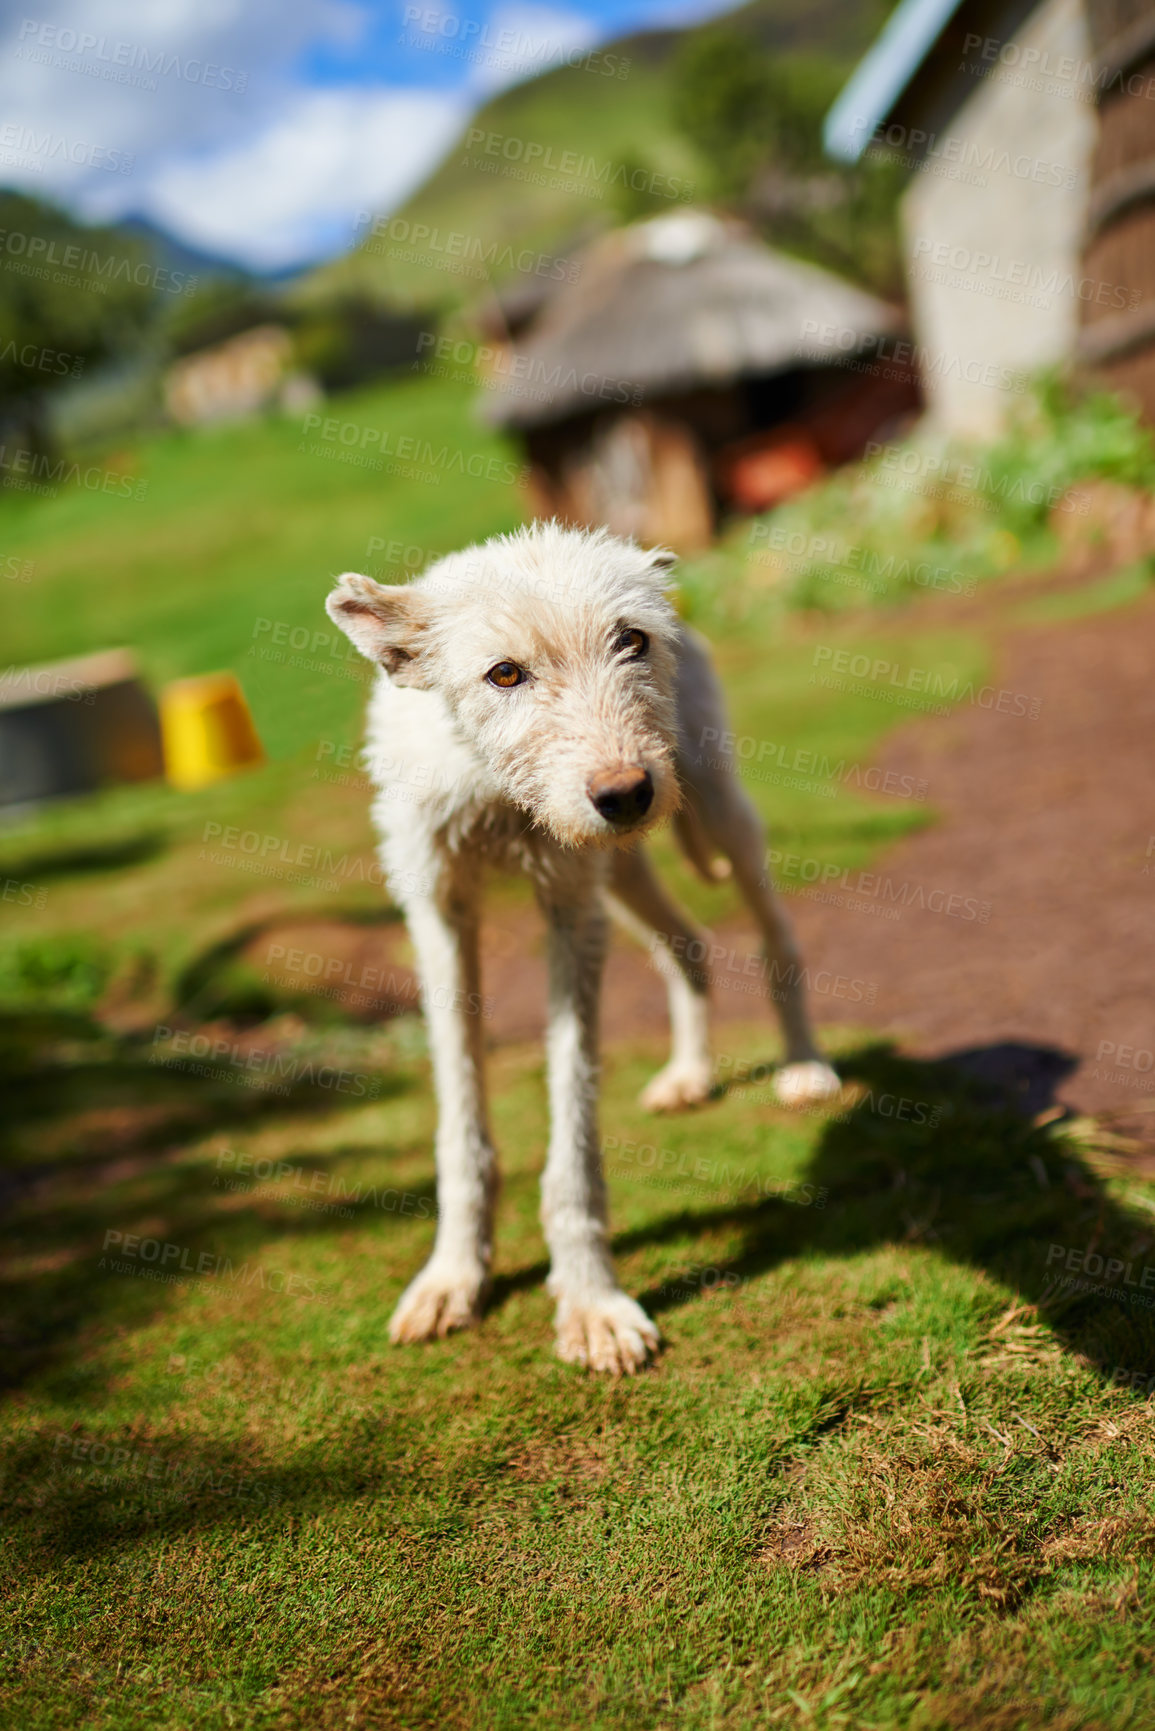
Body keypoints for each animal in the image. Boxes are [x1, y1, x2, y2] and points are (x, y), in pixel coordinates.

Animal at [327, 519, 841, 1370]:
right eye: (504, 673)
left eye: (630, 640)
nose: (624, 792)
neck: (498, 792)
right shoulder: (438, 911)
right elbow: (460, 1125)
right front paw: (454, 1275)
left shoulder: (572, 911)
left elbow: (572, 1138)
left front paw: (590, 1301)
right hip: (625, 870)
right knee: (687, 946)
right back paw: (689, 1074)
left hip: (715, 813)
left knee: (777, 937)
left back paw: (803, 1064)